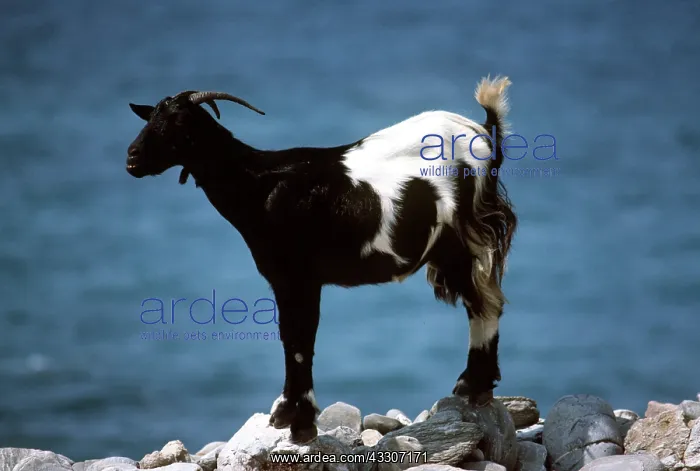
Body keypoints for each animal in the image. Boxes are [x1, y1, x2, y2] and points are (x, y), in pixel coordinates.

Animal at [125, 77, 517, 444]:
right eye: (151, 117)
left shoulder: (298, 277)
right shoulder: (286, 279)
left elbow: (299, 341)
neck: (259, 186)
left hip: (464, 240)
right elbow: (292, 338)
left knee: (484, 304)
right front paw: (289, 415)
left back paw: (474, 387)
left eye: (179, 123)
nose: (131, 157)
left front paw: (299, 423)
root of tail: (482, 131)